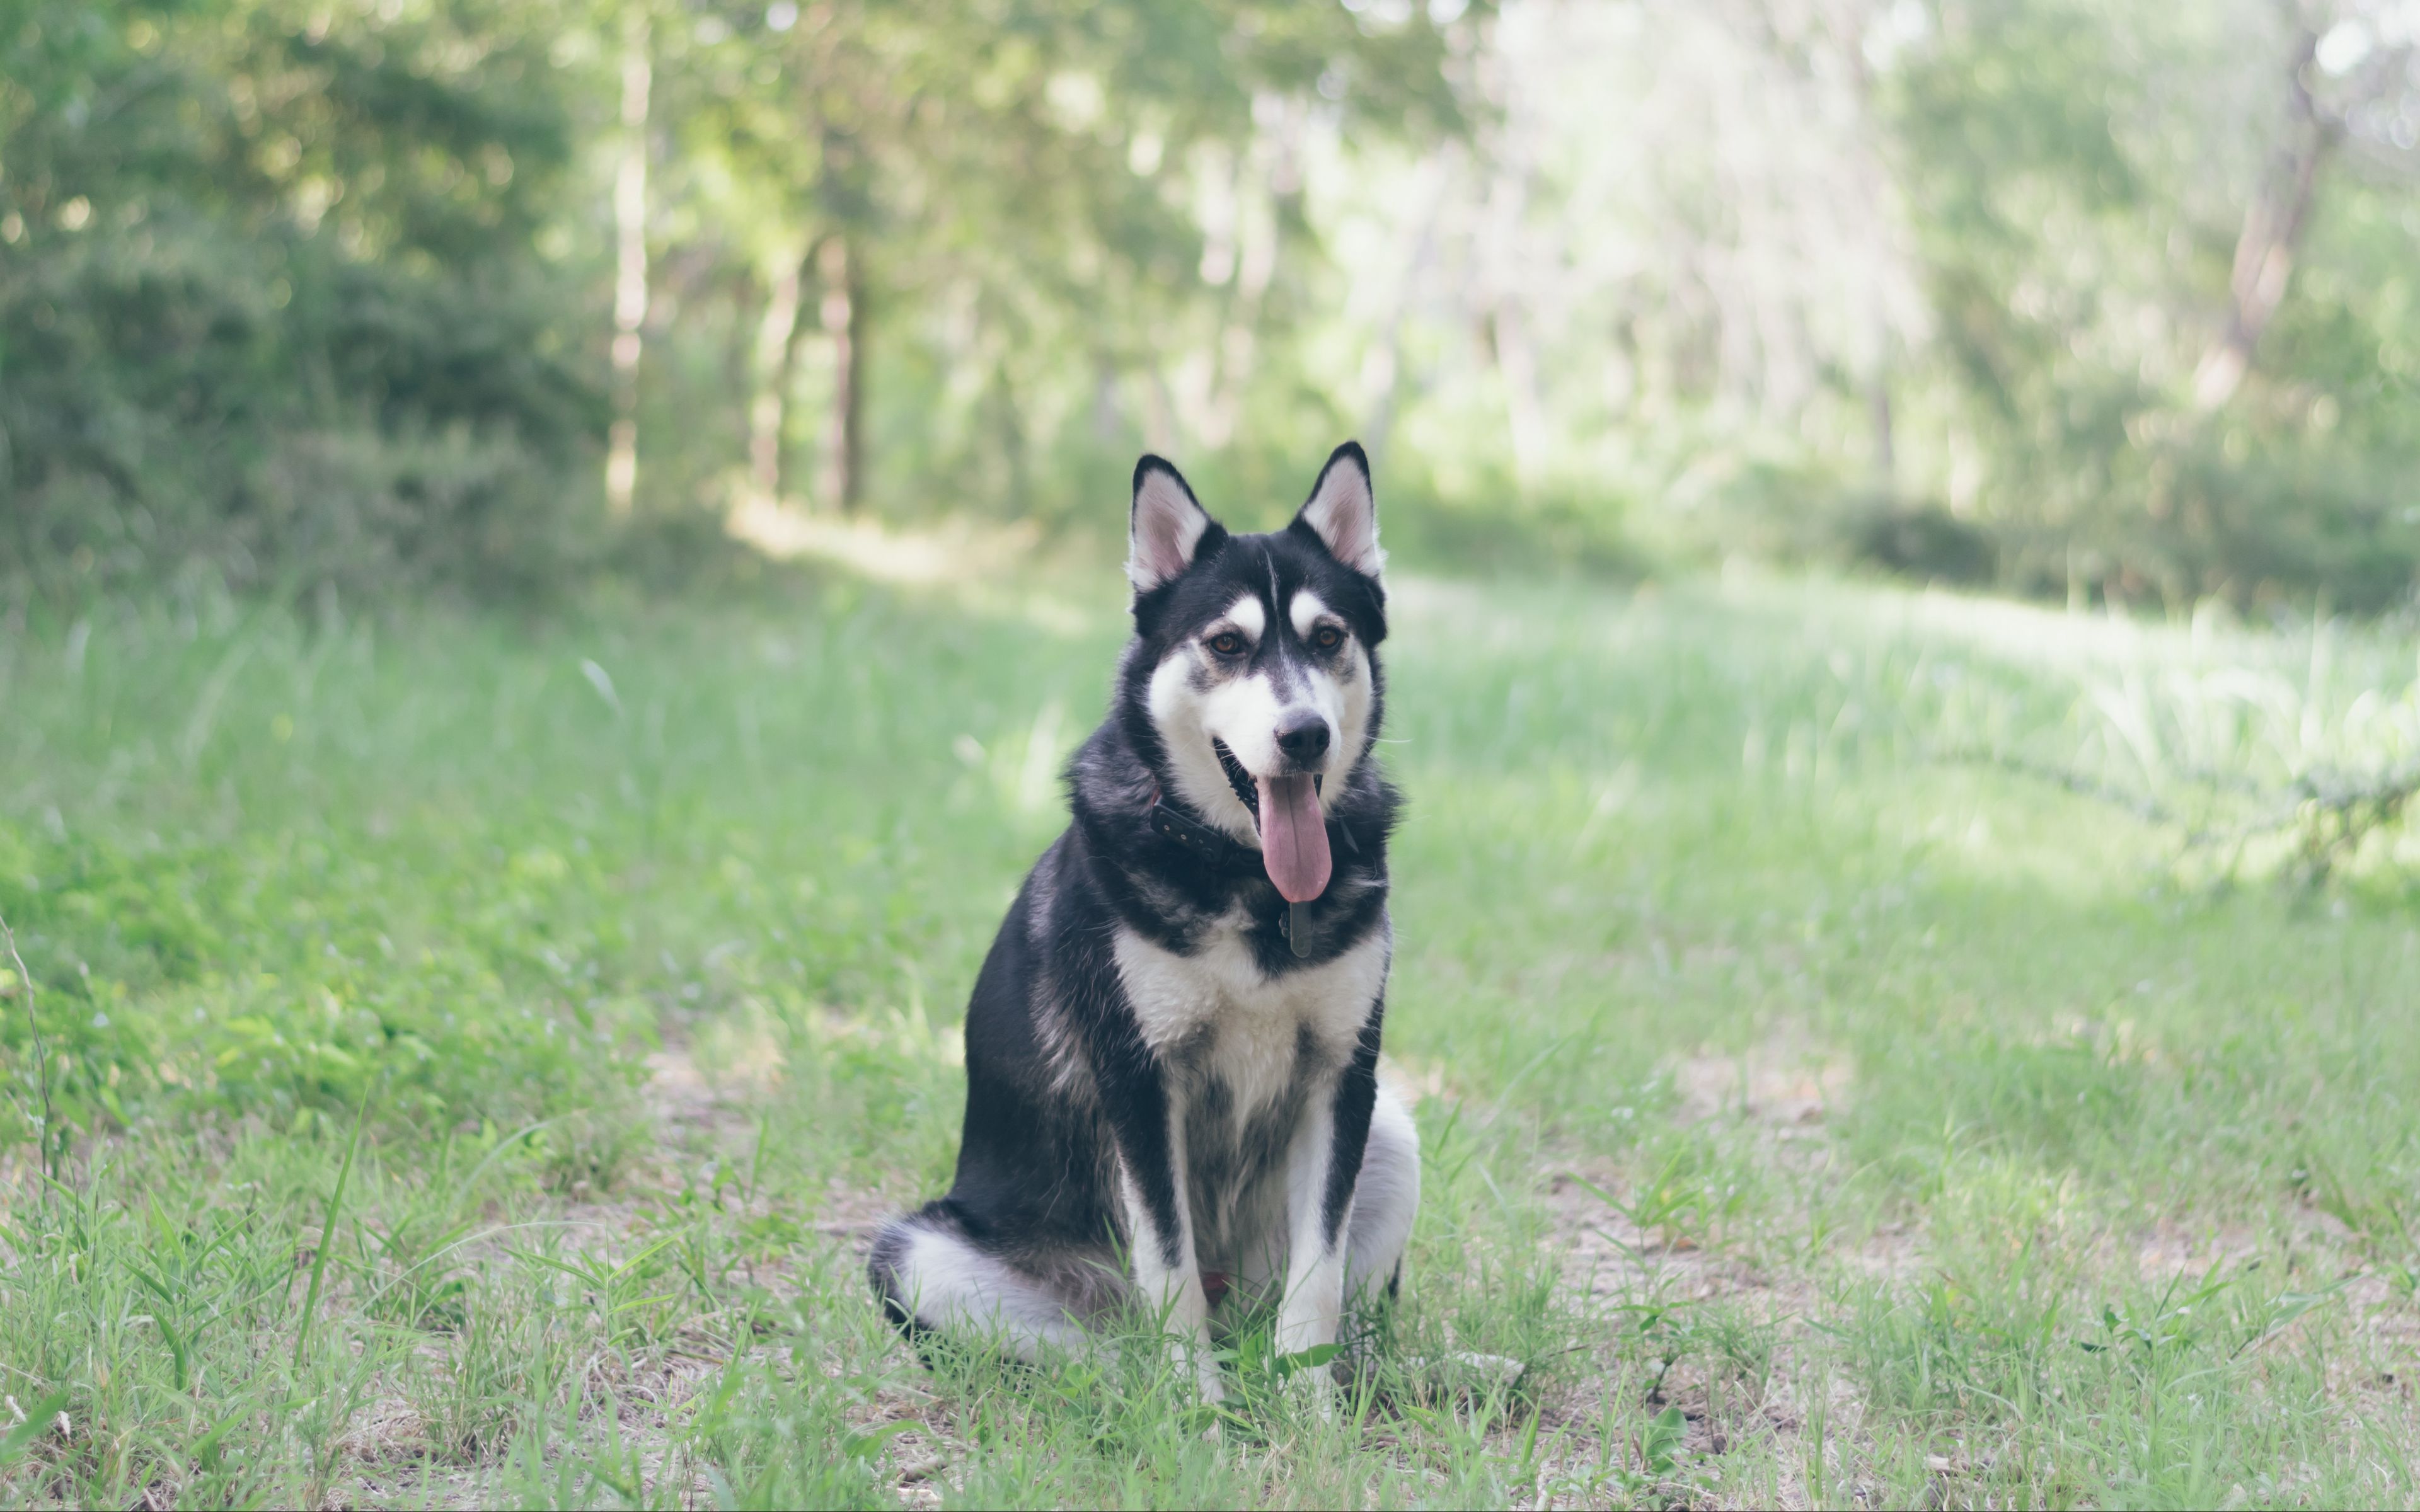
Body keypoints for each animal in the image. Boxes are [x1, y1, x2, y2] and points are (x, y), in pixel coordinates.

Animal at [866, 442, 1413, 1393]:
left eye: (1328, 638)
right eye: (1227, 645)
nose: (1305, 734)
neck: (1247, 879)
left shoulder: (1344, 1077)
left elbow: (1319, 1280)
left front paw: (1309, 1407)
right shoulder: (1138, 1081)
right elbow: (1169, 1265)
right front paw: (1198, 1409)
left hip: (1394, 1137)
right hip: (919, 1255)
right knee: (1116, 1345)